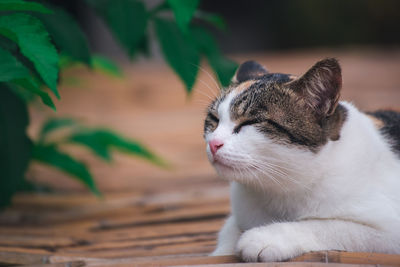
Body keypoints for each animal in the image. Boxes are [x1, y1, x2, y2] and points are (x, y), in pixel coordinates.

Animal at [205, 58, 400, 262]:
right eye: (214, 119)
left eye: (251, 122)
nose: (213, 143)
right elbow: (228, 231)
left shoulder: (390, 231)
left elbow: (332, 226)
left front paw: (265, 238)